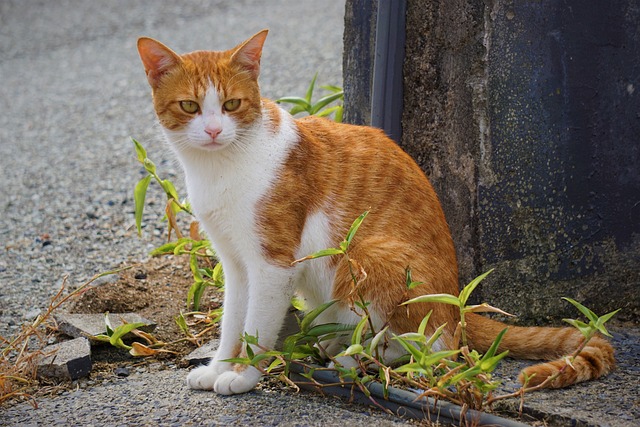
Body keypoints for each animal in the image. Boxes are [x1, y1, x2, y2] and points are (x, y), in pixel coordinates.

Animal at [139, 30, 616, 396]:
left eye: (232, 105)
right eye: (190, 107)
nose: (214, 130)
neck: (220, 167)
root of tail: (458, 303)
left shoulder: (273, 264)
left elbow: (257, 329)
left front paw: (243, 376)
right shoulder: (237, 265)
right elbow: (232, 324)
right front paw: (219, 367)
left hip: (367, 254)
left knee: (428, 347)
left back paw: (356, 360)